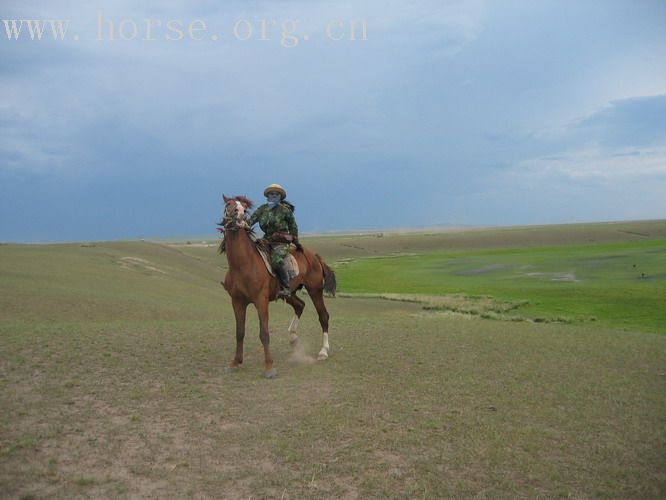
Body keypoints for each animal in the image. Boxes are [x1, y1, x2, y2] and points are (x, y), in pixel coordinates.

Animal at [218, 195, 334, 378]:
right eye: (229, 204)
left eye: (244, 207)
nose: (241, 215)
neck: (243, 264)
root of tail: (314, 256)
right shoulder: (237, 302)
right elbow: (239, 332)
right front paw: (235, 362)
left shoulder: (261, 301)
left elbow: (264, 334)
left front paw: (269, 367)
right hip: (289, 292)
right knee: (300, 305)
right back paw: (293, 338)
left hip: (315, 290)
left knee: (323, 316)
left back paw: (323, 352)